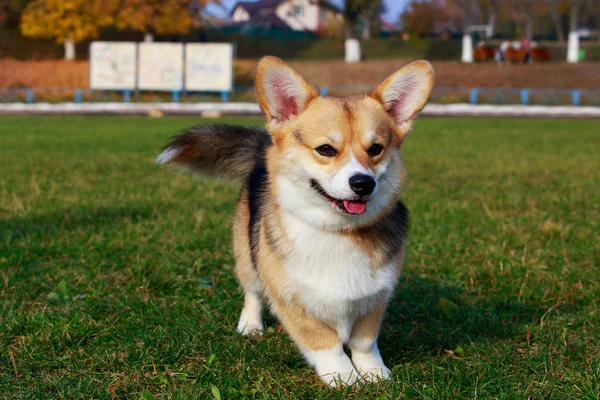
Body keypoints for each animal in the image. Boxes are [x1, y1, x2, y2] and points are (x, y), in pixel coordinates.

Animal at [157, 57, 434, 388]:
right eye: (326, 149)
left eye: (375, 149)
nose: (363, 184)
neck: (338, 231)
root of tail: (264, 147)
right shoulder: (291, 299)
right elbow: (325, 343)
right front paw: (343, 376)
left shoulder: (374, 299)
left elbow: (365, 342)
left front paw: (374, 373)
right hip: (247, 255)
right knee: (252, 293)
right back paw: (250, 326)